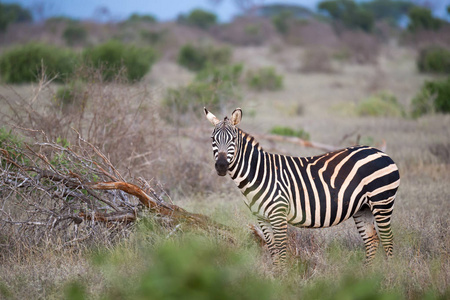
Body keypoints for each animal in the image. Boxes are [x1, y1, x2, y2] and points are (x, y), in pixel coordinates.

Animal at [204, 108, 400, 264]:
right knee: (372, 240)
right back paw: (368, 276)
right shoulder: (262, 218)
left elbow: (281, 249)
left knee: (387, 239)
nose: (221, 166)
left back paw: (387, 277)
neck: (258, 173)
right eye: (213, 139)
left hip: (381, 202)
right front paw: (274, 278)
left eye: (233, 139)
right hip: (363, 207)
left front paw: (283, 280)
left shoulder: (278, 214)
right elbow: (273, 250)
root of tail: (381, 152)